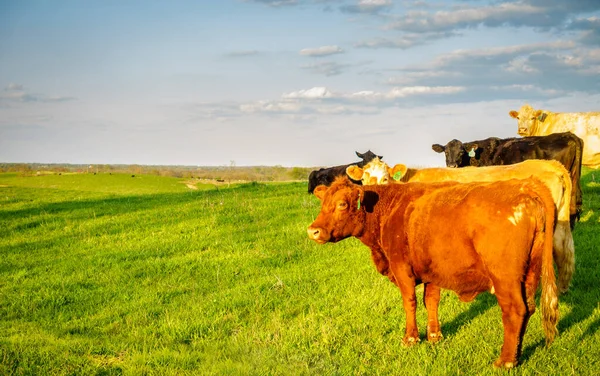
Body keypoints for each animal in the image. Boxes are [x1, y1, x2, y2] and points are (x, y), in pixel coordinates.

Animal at [310, 177, 556, 368]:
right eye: (322, 203)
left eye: (342, 204)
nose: (313, 230)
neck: (389, 208)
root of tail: (523, 186)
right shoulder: (433, 271)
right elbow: (431, 301)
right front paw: (434, 336)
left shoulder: (401, 267)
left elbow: (410, 302)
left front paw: (410, 338)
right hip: (530, 274)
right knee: (529, 308)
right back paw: (517, 355)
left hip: (505, 277)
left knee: (515, 311)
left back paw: (505, 361)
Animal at [346, 157, 576, 296]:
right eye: (363, 179)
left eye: (385, 178)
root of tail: (549, 163)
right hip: (561, 221)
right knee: (564, 249)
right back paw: (563, 288)